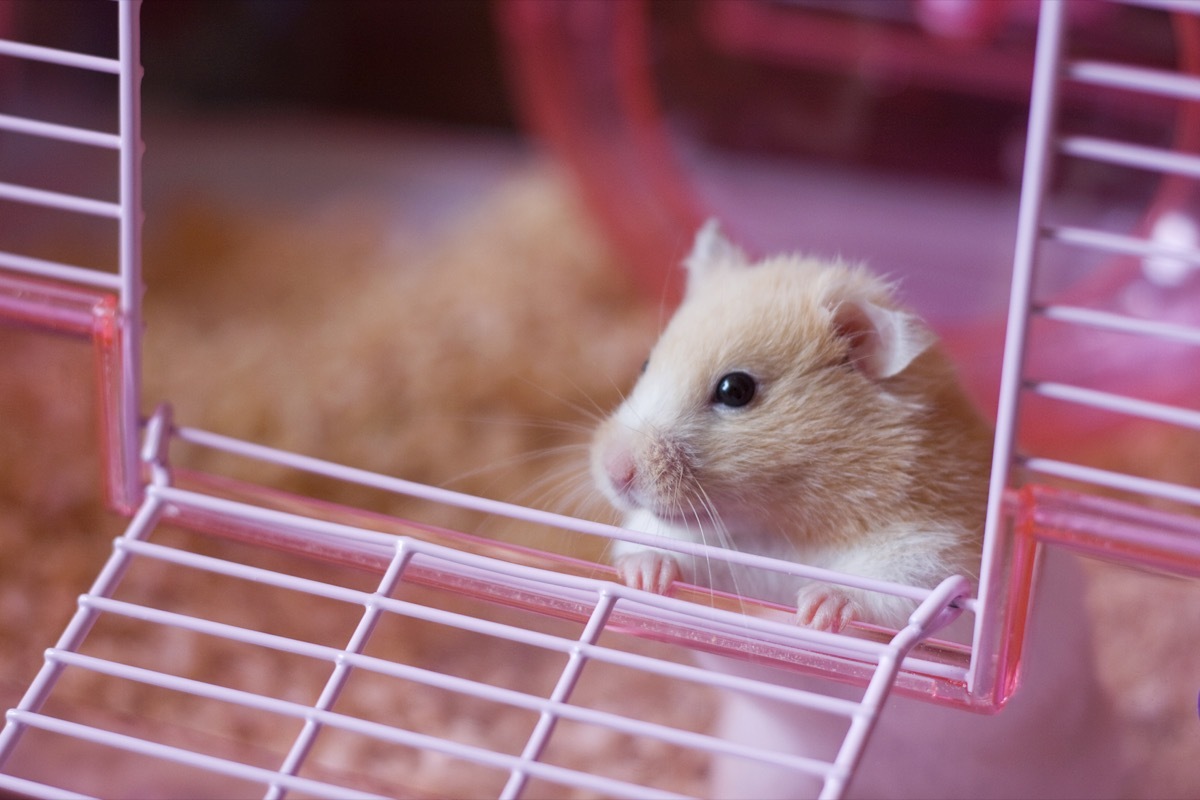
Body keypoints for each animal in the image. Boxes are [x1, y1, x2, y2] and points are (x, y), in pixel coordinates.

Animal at [590, 220, 993, 633]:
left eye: (735, 390)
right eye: (645, 365)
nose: (614, 471)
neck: (777, 530)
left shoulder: (933, 546)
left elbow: (896, 588)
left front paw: (817, 612)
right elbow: (661, 547)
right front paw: (643, 575)